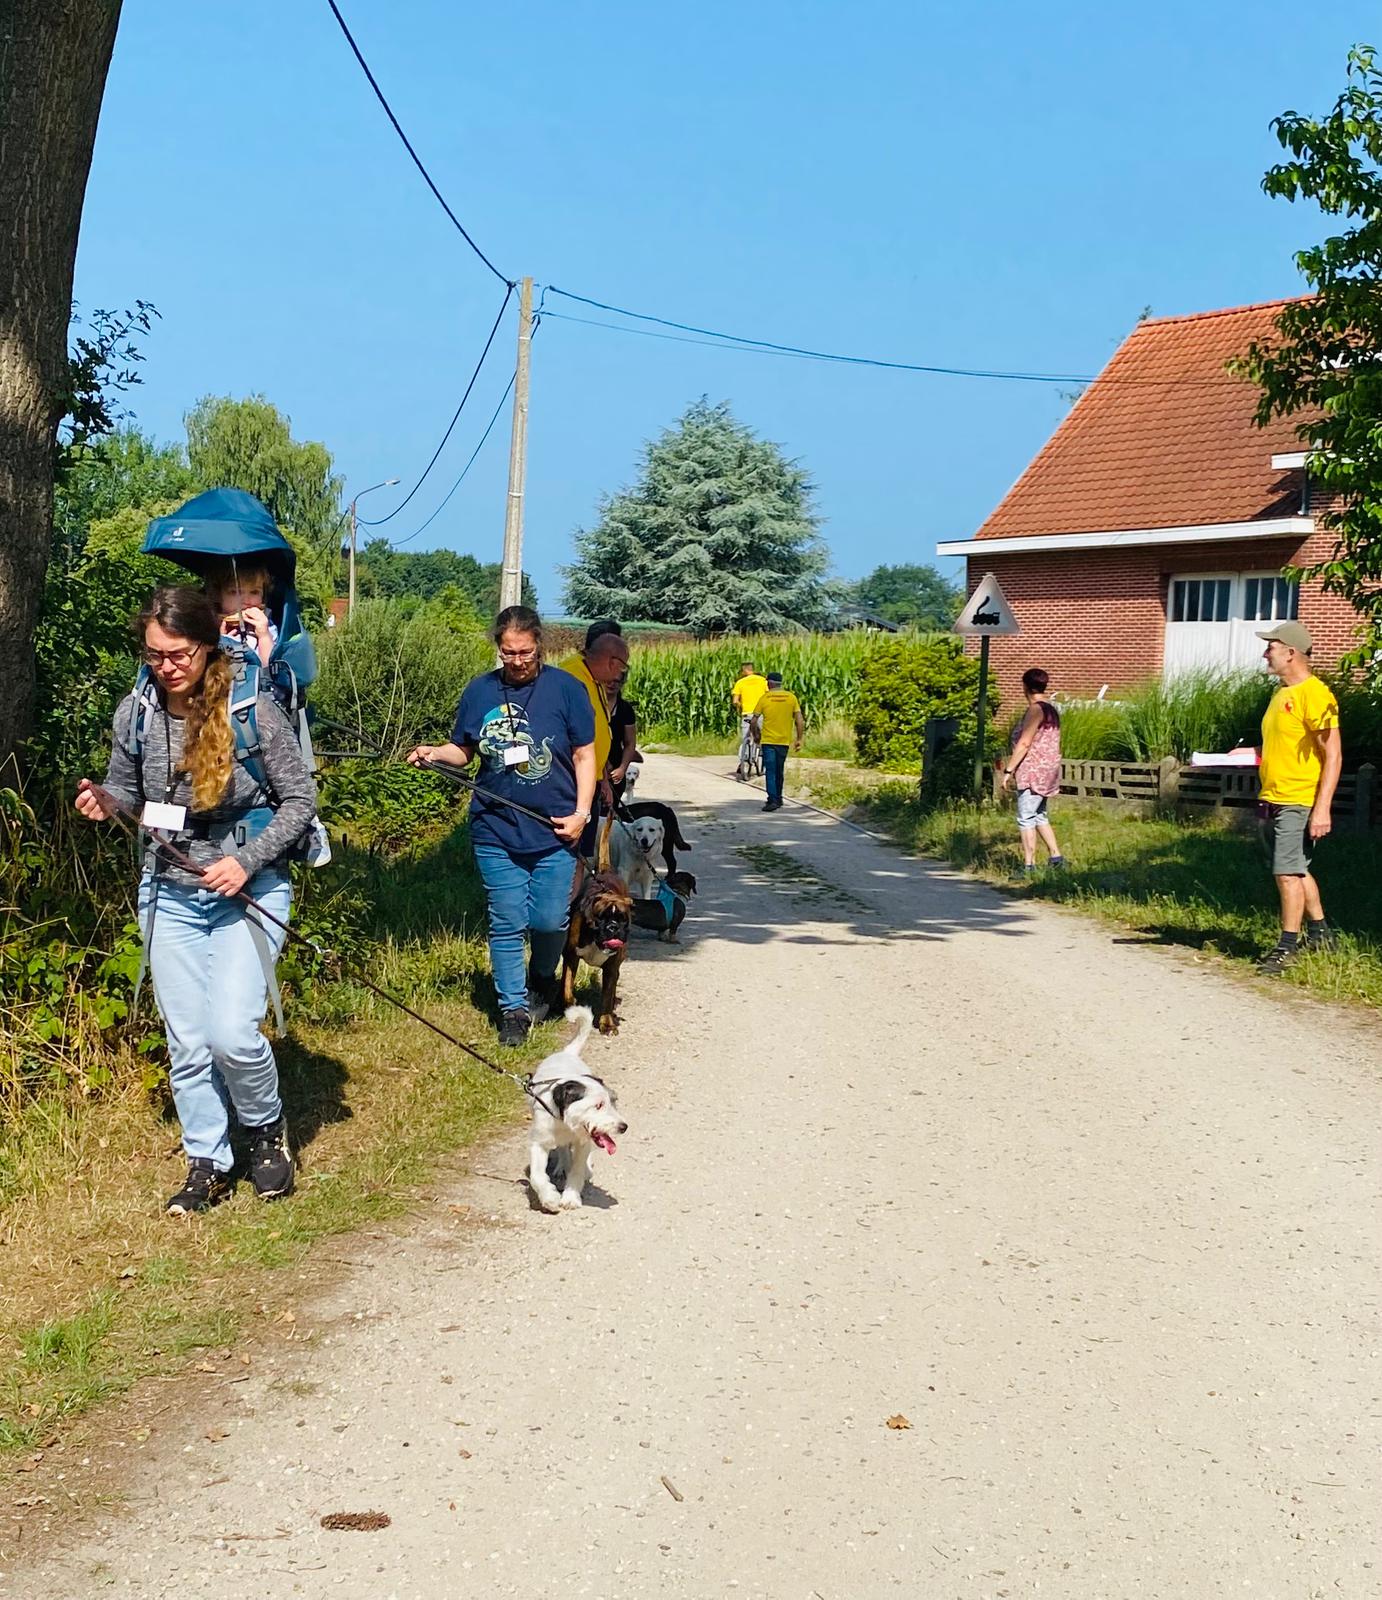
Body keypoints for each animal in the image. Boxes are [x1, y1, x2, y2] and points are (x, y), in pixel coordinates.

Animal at [527, 1005, 627, 1212]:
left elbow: (577, 1170)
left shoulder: (583, 1143)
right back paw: (561, 1165)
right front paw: (549, 1198)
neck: (565, 1124)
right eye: (598, 1105)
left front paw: (571, 1197)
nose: (623, 1127)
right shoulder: (538, 1142)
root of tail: (568, 1054)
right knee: (563, 1149)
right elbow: (537, 1176)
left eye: (613, 1101)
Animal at [562, 868, 633, 1035]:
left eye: (623, 919)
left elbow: (606, 998)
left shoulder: (611, 969)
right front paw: (571, 1002)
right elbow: (567, 986)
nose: (613, 927)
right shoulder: (571, 957)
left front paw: (607, 1024)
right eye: (601, 918)